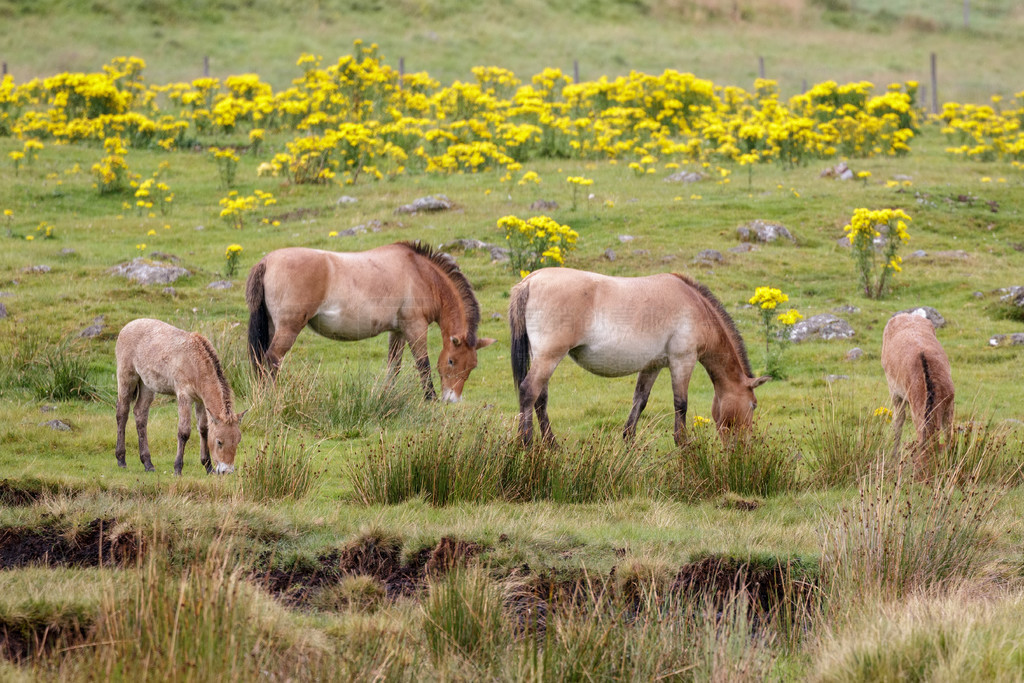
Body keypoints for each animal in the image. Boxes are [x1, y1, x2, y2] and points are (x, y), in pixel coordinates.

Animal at [115, 319, 244, 475]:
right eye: (219, 441)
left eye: (238, 441)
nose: (227, 471)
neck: (195, 362)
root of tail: (127, 326)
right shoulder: (184, 396)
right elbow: (184, 432)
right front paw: (177, 468)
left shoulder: (200, 400)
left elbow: (204, 429)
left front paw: (208, 467)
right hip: (126, 377)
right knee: (122, 412)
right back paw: (121, 459)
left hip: (146, 385)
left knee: (140, 414)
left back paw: (148, 463)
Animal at [243, 240, 491, 401]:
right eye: (451, 361)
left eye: (472, 366)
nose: (451, 399)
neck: (421, 274)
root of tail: (266, 261)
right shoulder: (415, 327)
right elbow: (423, 364)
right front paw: (430, 399)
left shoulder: (398, 331)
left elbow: (394, 366)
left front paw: (386, 396)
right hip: (288, 328)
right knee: (272, 359)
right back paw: (274, 398)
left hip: (272, 327)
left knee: (261, 360)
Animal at [507, 266, 770, 448]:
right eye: (753, 405)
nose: (742, 447)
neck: (696, 306)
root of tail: (530, 280)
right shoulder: (682, 360)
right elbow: (681, 404)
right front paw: (683, 444)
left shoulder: (652, 366)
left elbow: (640, 401)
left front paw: (628, 441)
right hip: (549, 356)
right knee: (528, 391)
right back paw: (525, 443)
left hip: (541, 356)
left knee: (540, 399)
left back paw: (552, 446)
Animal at [876, 309, 954, 475]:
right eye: (917, 465)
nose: (925, 478)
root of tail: (908, 314)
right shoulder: (914, 406)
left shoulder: (951, 402)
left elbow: (949, 436)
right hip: (894, 390)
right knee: (899, 419)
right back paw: (894, 456)